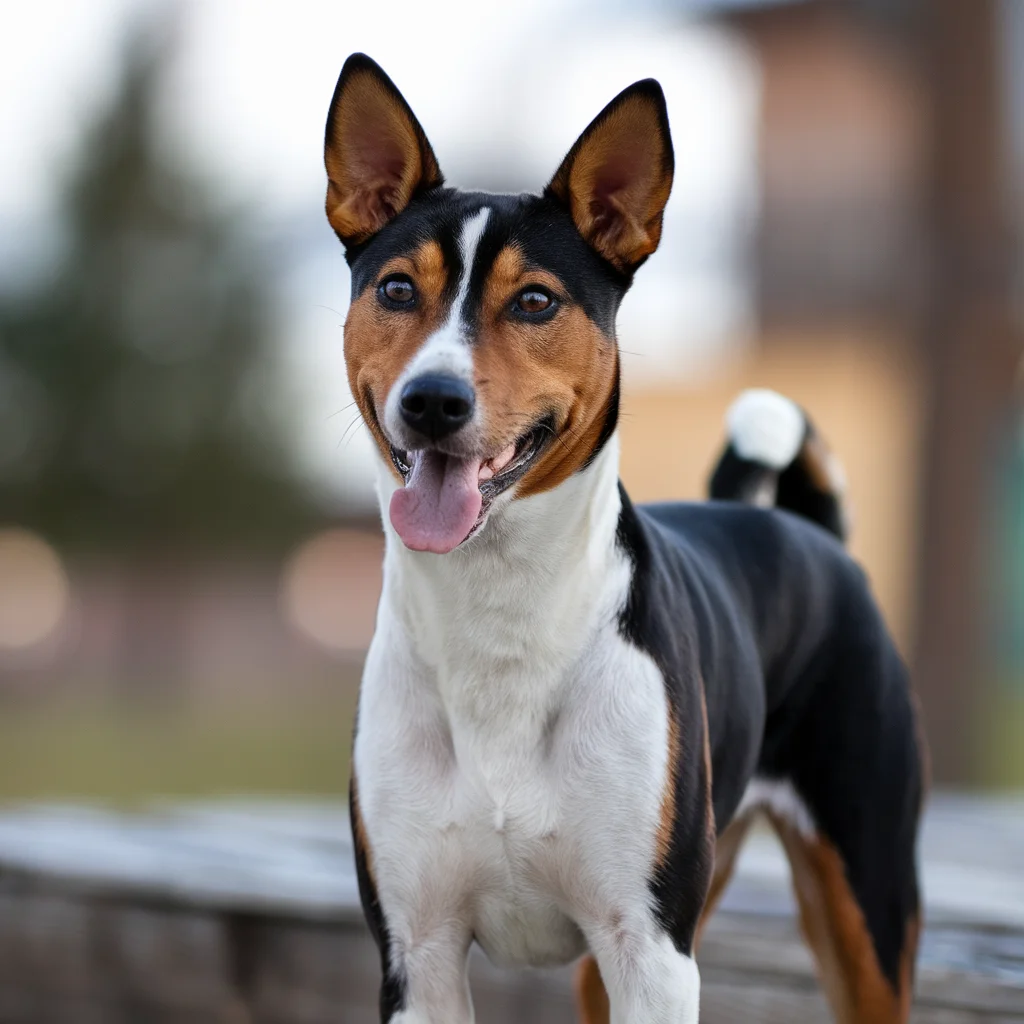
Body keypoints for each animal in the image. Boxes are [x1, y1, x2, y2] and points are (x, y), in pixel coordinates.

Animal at [327, 56, 929, 1024]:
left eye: (536, 301)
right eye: (396, 291)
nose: (432, 400)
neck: (499, 617)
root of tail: (800, 528)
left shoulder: (650, 950)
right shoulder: (417, 952)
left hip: (865, 902)